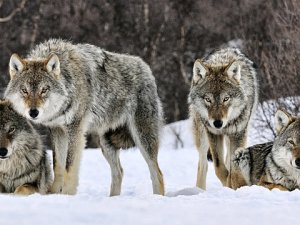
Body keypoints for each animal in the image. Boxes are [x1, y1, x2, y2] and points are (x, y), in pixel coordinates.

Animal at [4, 38, 164, 195]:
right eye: (24, 90)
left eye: (44, 90)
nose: (33, 112)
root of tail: (146, 67)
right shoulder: (57, 130)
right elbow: (58, 165)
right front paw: (53, 193)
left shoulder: (75, 130)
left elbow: (69, 166)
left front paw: (67, 194)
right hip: (106, 143)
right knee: (119, 172)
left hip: (142, 138)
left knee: (157, 173)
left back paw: (157, 197)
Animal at [190, 48, 258, 189]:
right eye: (208, 99)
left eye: (226, 99)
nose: (217, 123)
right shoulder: (213, 134)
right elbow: (219, 168)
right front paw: (228, 183)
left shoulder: (238, 134)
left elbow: (232, 169)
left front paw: (232, 185)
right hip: (202, 135)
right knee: (203, 165)